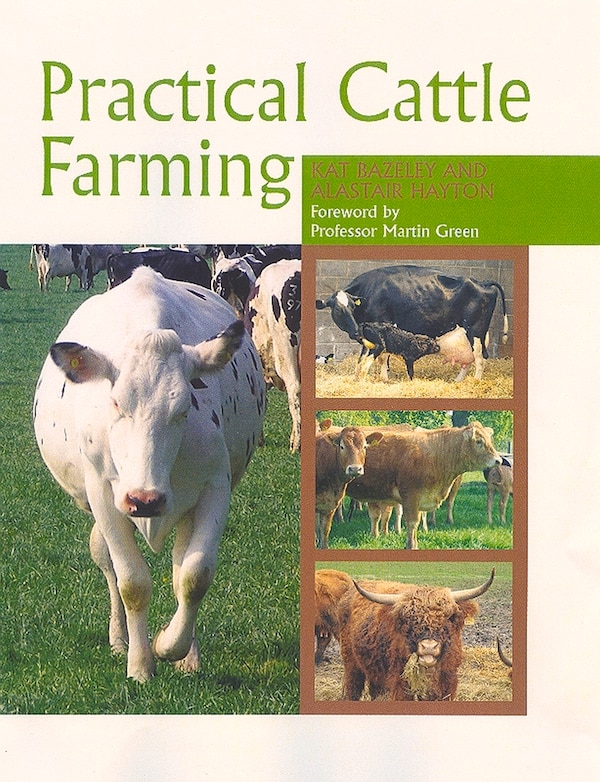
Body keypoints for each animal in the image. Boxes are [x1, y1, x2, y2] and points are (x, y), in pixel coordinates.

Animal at [33, 267, 266, 682]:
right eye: (114, 403)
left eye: (184, 408)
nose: (144, 499)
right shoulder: (104, 495)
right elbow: (132, 583)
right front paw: (140, 664)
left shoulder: (214, 488)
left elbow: (194, 576)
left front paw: (169, 646)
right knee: (105, 560)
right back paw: (120, 639)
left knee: (179, 566)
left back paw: (188, 654)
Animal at [316, 264, 508, 380]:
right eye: (338, 310)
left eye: (351, 307)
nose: (356, 332)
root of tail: (481, 282)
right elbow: (363, 358)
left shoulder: (383, 326)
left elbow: (382, 357)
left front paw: (384, 378)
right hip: (472, 335)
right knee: (469, 359)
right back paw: (458, 381)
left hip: (475, 331)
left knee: (480, 359)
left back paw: (474, 381)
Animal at [337, 569, 495, 701]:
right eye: (409, 619)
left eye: (449, 617)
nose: (429, 647)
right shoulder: (401, 685)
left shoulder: (448, 683)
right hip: (351, 665)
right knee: (353, 688)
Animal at [344, 421, 502, 549]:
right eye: (479, 441)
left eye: (489, 440)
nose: (498, 460)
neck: (437, 454)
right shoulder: (411, 497)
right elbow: (412, 523)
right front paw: (411, 545)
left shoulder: (421, 498)